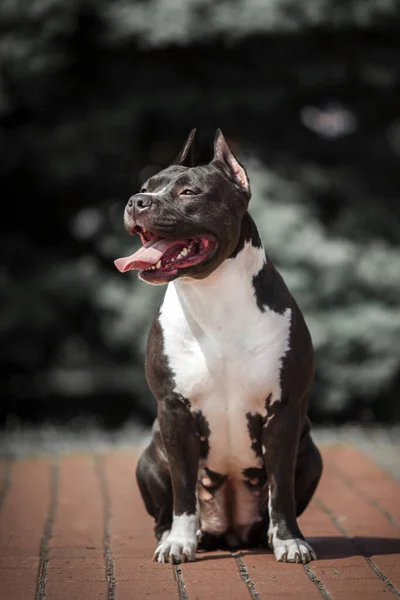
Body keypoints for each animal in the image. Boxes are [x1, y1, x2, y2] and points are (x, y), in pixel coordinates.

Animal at [113, 129, 322, 564]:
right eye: (146, 186)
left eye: (189, 191)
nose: (136, 201)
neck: (213, 296)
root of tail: (229, 533)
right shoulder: (174, 411)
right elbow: (182, 489)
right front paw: (178, 542)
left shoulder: (284, 412)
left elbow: (282, 490)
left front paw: (290, 540)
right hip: (150, 457)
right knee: (168, 506)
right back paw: (178, 535)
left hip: (310, 451)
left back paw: (267, 537)